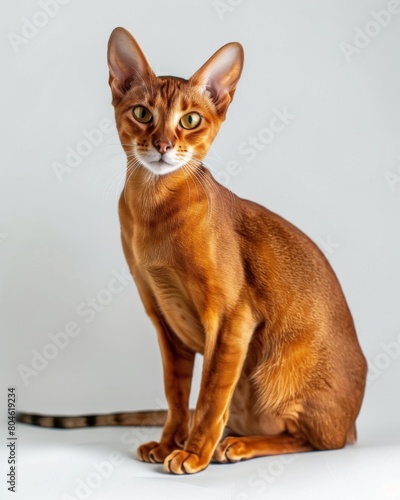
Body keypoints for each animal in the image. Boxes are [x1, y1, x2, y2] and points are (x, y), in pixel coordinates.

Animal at [18, 28, 366, 476]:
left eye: (190, 120)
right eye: (143, 114)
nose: (163, 145)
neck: (153, 213)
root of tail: (352, 423)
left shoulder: (231, 319)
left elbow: (210, 396)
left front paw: (193, 453)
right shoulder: (164, 319)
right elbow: (178, 394)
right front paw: (169, 443)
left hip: (280, 372)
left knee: (315, 441)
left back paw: (236, 446)